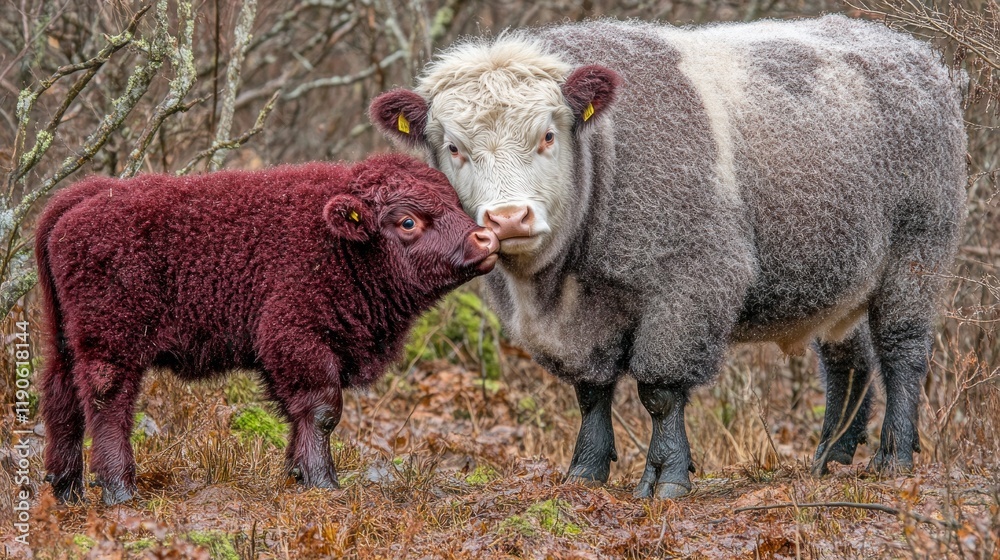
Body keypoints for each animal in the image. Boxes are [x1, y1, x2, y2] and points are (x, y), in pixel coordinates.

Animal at [37, 154, 499, 505]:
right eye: (407, 221)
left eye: (455, 201)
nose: (485, 239)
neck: (337, 242)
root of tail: (87, 195)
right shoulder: (297, 340)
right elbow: (323, 412)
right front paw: (323, 481)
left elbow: (299, 414)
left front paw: (296, 473)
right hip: (112, 344)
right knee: (108, 404)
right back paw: (119, 491)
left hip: (64, 341)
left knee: (62, 400)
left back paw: (66, 490)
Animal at [369, 15, 968, 499]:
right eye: (454, 148)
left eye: (547, 136)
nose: (509, 218)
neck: (558, 286)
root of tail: (914, 52)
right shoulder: (581, 325)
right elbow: (591, 392)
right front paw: (585, 472)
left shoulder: (692, 283)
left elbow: (659, 391)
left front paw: (665, 477)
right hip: (840, 274)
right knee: (849, 361)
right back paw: (831, 458)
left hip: (916, 253)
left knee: (902, 352)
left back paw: (893, 456)